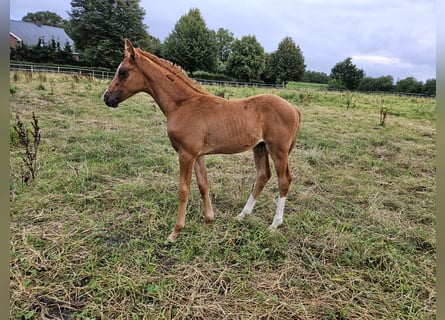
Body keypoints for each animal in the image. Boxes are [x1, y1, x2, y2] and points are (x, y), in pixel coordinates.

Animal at [102, 38, 300, 241]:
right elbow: (203, 185)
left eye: (123, 72)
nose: (106, 98)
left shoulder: (186, 154)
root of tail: (294, 109)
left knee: (284, 180)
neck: (183, 105)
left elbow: (183, 189)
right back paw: (242, 215)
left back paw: (275, 224)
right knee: (263, 175)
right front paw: (208, 221)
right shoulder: (197, 155)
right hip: (260, 147)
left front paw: (175, 232)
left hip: (278, 149)